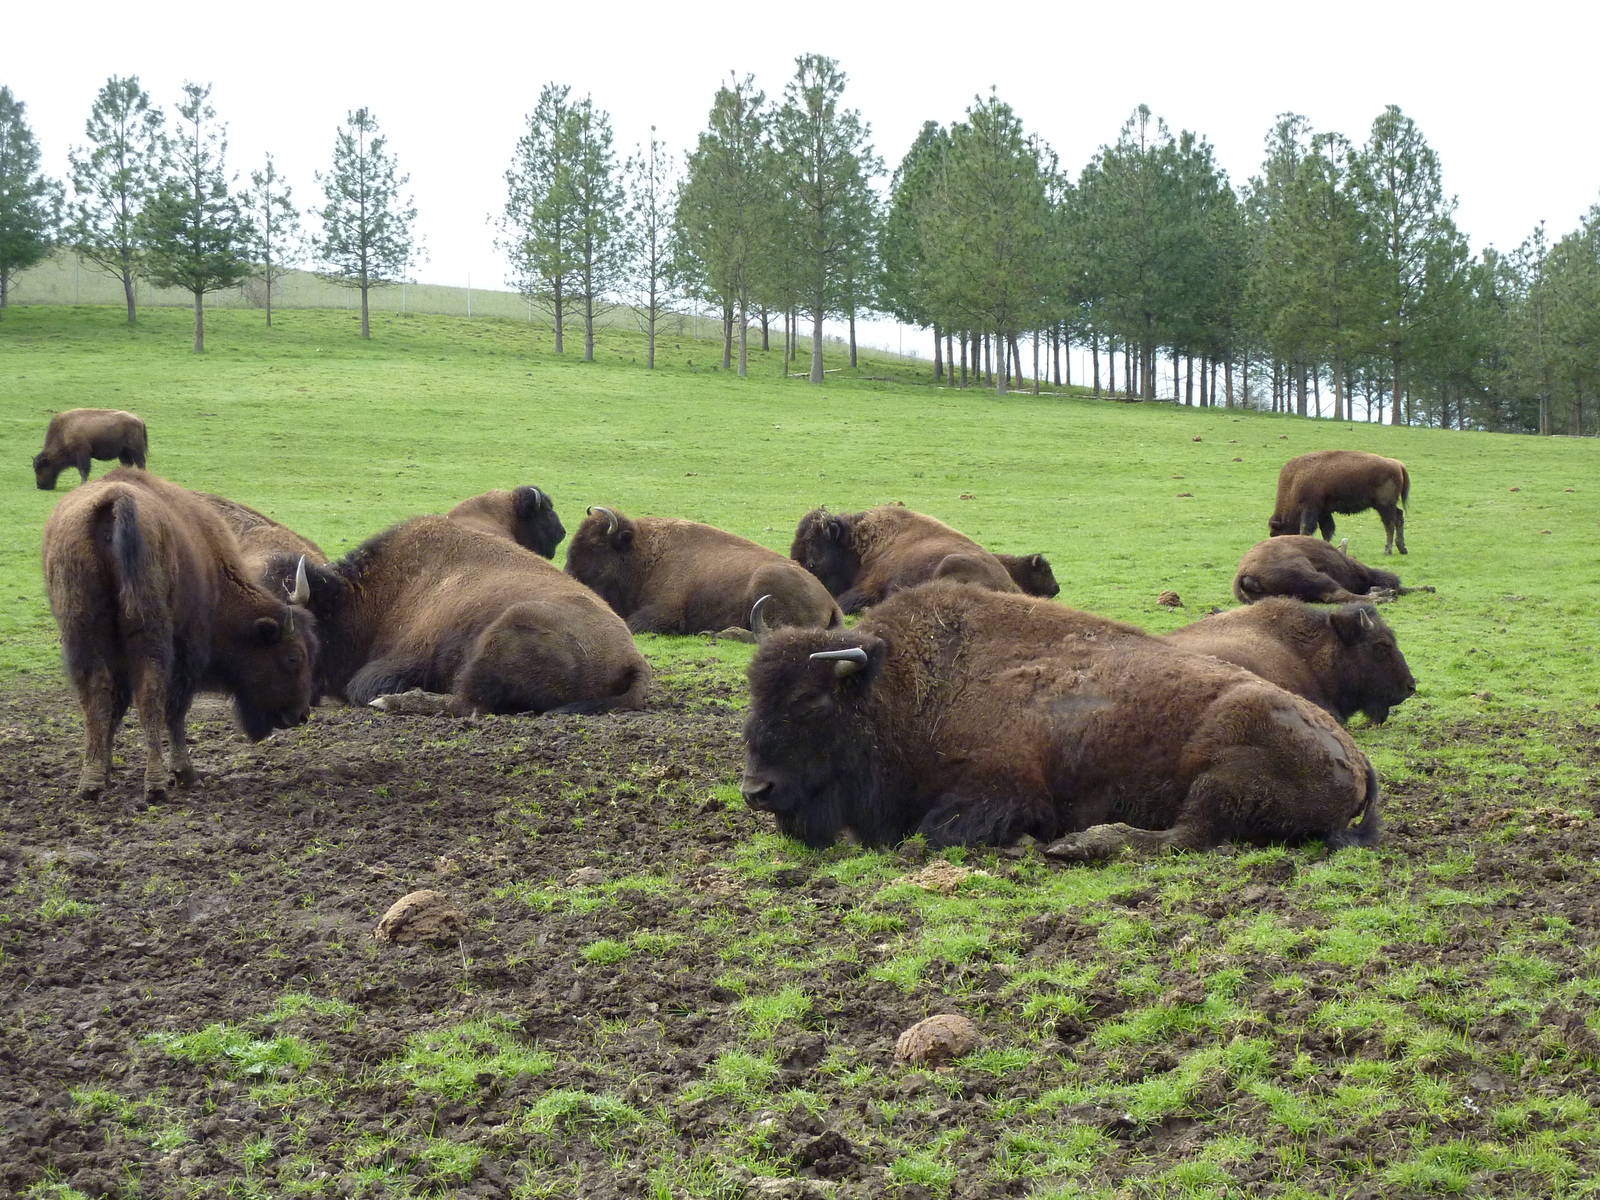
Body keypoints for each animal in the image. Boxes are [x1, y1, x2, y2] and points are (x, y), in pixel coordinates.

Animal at [42, 469, 317, 802]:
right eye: (293, 657)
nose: (301, 715)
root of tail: (118, 501)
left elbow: (113, 707)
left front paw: (104, 771)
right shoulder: (189, 651)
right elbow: (175, 710)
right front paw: (184, 774)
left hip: (81, 628)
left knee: (94, 694)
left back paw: (91, 784)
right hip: (151, 633)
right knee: (151, 696)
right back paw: (158, 784)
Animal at [265, 515, 648, 715]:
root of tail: (633, 658)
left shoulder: (402, 662)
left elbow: (362, 685)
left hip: (504, 632)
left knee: (469, 703)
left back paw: (391, 702)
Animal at [567, 506, 841, 634]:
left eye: (597, 547)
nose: (570, 576)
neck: (643, 552)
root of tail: (830, 600)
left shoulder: (665, 612)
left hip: (765, 584)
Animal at [741, 582, 1377, 856]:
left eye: (813, 700)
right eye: (754, 693)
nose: (756, 790)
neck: (906, 684)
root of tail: (1354, 753)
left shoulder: (1006, 790)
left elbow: (935, 832)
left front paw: (1025, 843)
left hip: (1222, 775)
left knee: (1185, 836)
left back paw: (1079, 844)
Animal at [1269, 450, 1411, 554]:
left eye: (1277, 533)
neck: (1294, 480)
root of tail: (1398, 464)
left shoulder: (1310, 509)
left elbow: (1306, 528)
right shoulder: (1323, 512)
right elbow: (1327, 530)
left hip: (1384, 505)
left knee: (1389, 524)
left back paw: (1388, 550)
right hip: (1388, 505)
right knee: (1399, 517)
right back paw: (1402, 549)